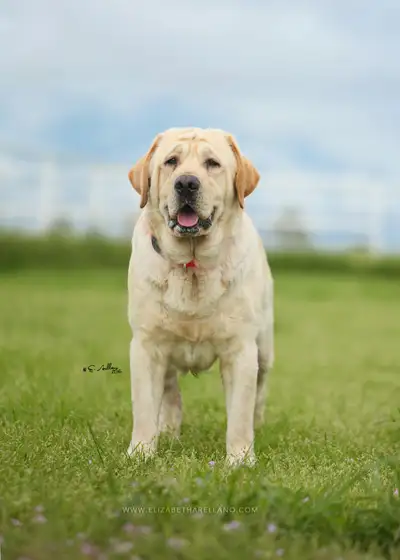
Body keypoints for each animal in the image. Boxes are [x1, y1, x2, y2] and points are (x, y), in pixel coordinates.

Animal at [126, 127, 274, 464]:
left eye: (212, 164)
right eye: (171, 161)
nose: (186, 183)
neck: (192, 266)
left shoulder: (241, 350)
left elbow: (240, 414)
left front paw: (240, 460)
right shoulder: (146, 345)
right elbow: (144, 408)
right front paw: (140, 453)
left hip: (265, 349)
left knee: (259, 395)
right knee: (170, 393)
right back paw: (168, 431)